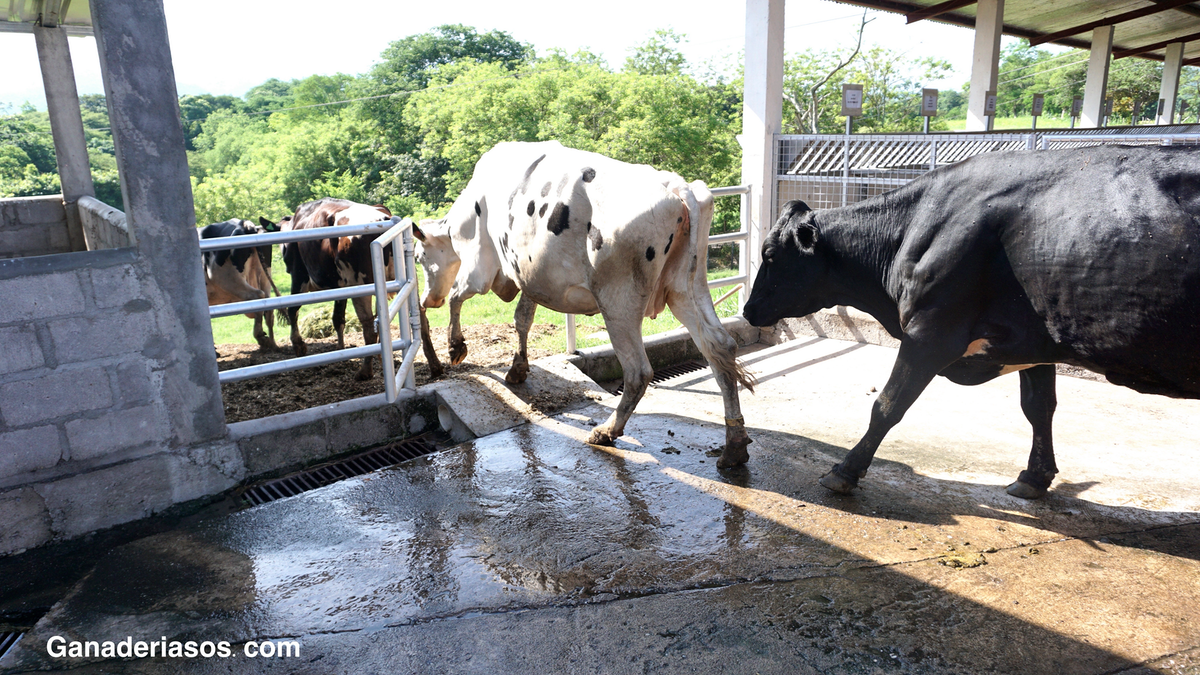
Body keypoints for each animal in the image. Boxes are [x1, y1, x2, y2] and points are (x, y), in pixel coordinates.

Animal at [200, 218, 281, 349]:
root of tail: (244, 224)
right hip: (264, 276)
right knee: (269, 306)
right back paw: (273, 343)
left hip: (231, 280)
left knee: (257, 296)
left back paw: (261, 337)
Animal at [280, 199, 397, 381]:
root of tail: (383, 218)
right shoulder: (340, 286)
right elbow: (338, 318)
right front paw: (341, 350)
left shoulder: (299, 274)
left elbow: (293, 309)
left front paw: (298, 345)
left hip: (360, 285)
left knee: (369, 326)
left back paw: (365, 370)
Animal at [412, 141, 756, 468]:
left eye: (419, 256)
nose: (428, 299)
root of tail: (674, 185)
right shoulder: (530, 275)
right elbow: (522, 317)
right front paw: (518, 368)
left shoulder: (479, 265)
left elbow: (458, 296)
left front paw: (456, 348)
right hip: (687, 287)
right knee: (720, 346)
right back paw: (734, 445)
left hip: (619, 301)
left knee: (638, 370)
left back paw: (607, 431)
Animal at [742, 145, 1200, 500]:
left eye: (770, 255)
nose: (747, 311)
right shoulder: (1035, 340)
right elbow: (1039, 407)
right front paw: (1034, 478)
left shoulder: (930, 333)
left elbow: (887, 405)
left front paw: (844, 472)